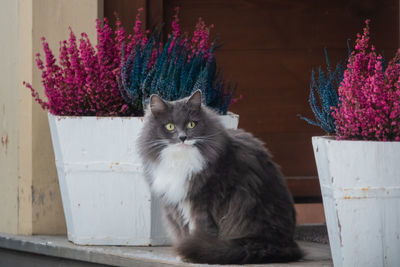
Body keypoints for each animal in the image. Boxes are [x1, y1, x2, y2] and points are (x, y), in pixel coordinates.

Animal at [139, 91, 302, 264]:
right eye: (170, 126)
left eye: (191, 124)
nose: (183, 137)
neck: (180, 160)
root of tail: (285, 243)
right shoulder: (177, 204)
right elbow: (184, 229)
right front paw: (184, 254)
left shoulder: (202, 203)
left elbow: (200, 229)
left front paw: (188, 255)